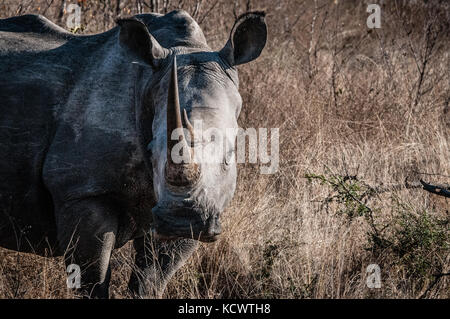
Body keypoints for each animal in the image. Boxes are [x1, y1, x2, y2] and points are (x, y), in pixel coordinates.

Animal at [0, 10, 268, 300]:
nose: (182, 219)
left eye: (230, 155)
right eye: (151, 152)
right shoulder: (82, 191)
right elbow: (92, 280)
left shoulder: (204, 208)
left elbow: (150, 280)